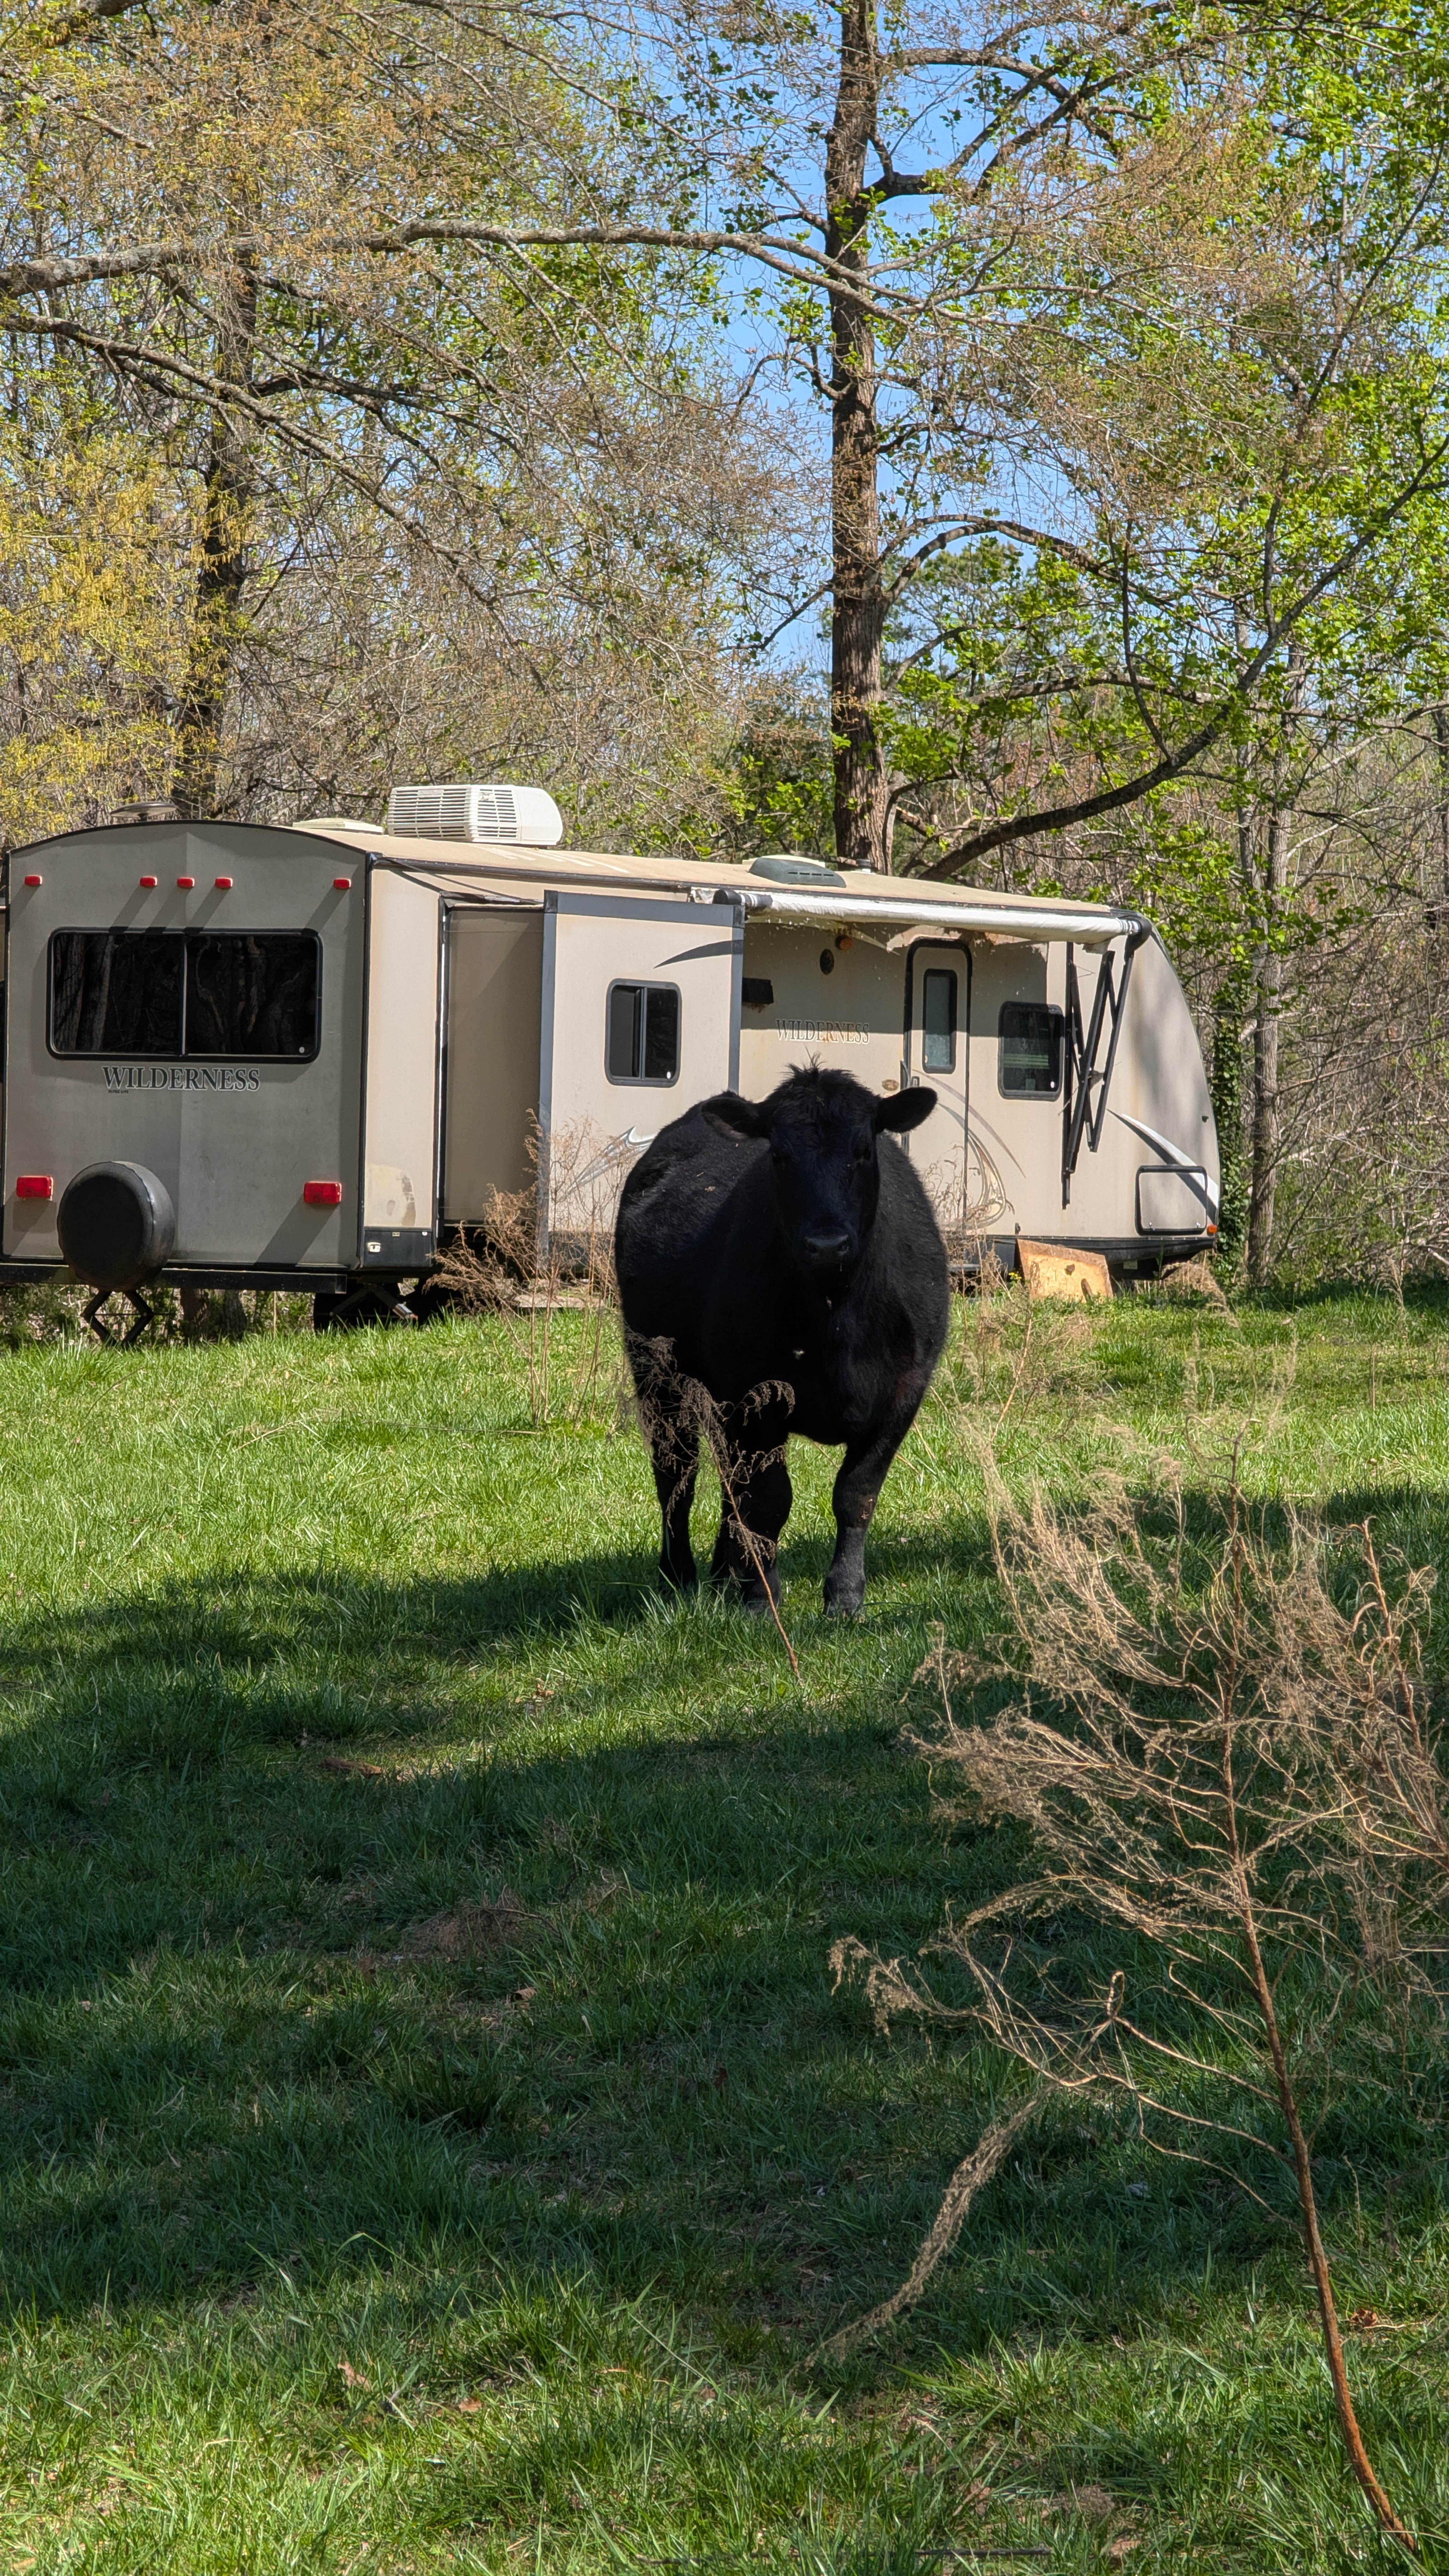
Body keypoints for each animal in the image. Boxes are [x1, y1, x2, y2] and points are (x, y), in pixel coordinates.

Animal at [615, 1065, 950, 1617]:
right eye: (778, 1156)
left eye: (864, 1151)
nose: (827, 1245)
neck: (837, 1320)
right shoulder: (754, 1396)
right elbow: (769, 1499)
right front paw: (761, 1595)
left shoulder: (901, 1394)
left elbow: (856, 1495)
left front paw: (844, 1597)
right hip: (658, 1374)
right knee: (676, 1476)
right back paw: (678, 1578)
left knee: (727, 1485)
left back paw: (721, 1576)